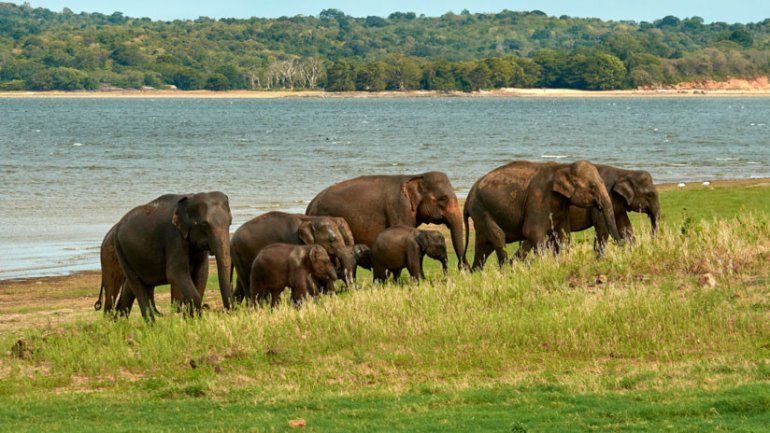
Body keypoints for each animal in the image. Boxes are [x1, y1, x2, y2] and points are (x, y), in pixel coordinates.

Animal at [112, 192, 233, 321]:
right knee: (136, 284)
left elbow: (202, 273)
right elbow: (175, 272)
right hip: (121, 251)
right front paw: (197, 320)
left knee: (131, 286)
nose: (225, 312)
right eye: (204, 225)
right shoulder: (174, 236)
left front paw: (190, 319)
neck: (190, 198)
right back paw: (150, 323)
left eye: (230, 222)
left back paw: (119, 321)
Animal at [463, 160, 623, 270]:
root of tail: (469, 194)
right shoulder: (538, 197)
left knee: (483, 246)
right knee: (497, 236)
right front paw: (544, 266)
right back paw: (507, 270)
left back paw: (476, 273)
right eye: (593, 187)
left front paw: (560, 263)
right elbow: (532, 232)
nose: (623, 246)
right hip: (480, 208)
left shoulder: (562, 205)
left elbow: (563, 234)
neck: (563, 167)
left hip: (480, 211)